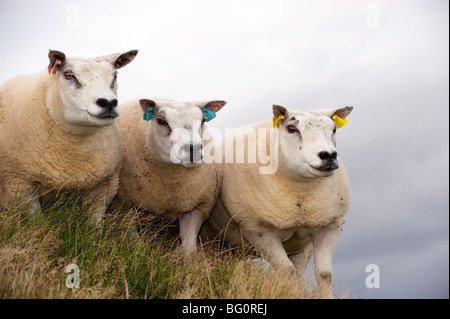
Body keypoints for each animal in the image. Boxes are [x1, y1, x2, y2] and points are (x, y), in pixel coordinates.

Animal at [0, 49, 137, 225]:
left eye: (115, 76)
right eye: (69, 75)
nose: (108, 103)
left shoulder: (104, 186)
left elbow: (93, 226)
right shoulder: (18, 185)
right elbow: (36, 223)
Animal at [112, 99, 225, 258]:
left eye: (203, 120)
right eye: (161, 121)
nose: (194, 149)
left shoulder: (195, 208)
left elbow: (189, 250)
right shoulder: (123, 206)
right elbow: (136, 245)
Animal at [202, 105, 354, 300]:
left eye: (334, 129)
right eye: (291, 128)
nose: (328, 155)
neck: (300, 195)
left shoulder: (330, 225)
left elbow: (324, 274)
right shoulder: (259, 231)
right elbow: (286, 270)